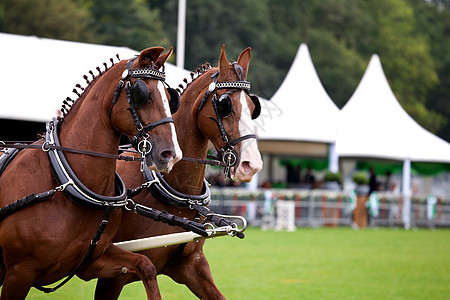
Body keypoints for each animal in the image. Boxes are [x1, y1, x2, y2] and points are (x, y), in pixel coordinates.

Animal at [0, 45, 181, 298]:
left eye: (170, 97)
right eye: (141, 94)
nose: (171, 154)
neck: (64, 181)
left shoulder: (93, 261)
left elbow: (146, 265)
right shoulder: (19, 273)